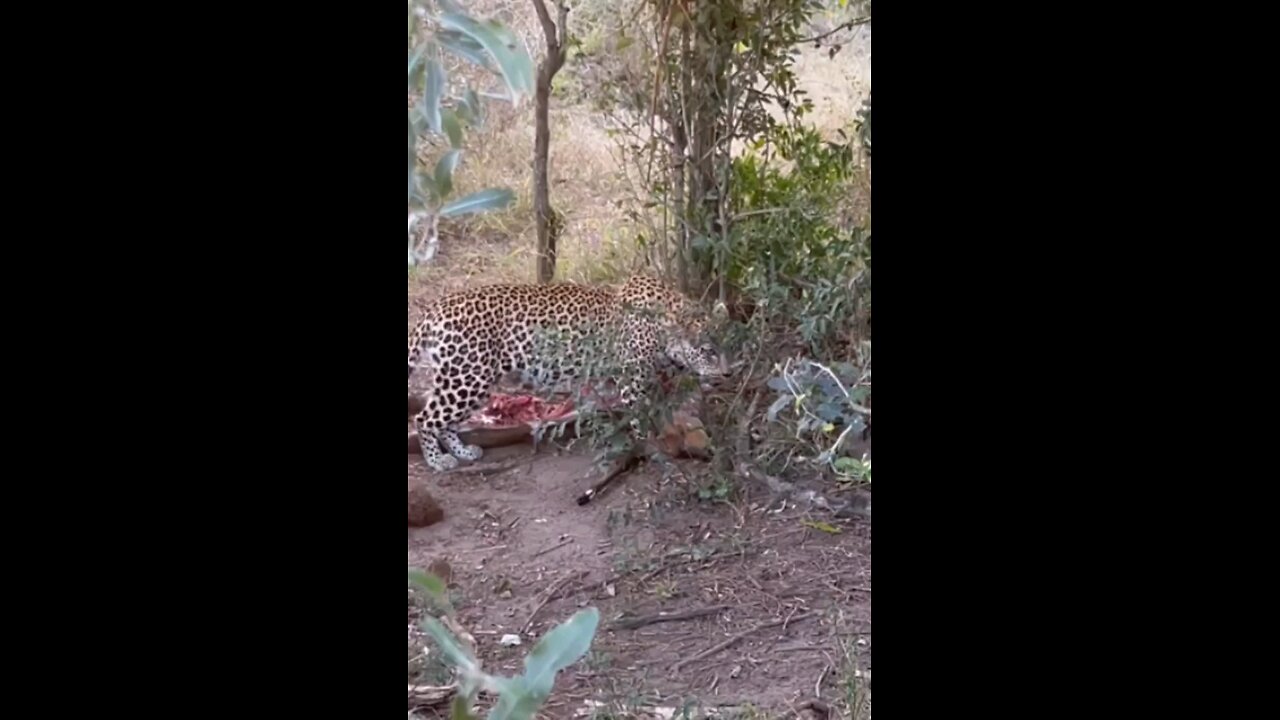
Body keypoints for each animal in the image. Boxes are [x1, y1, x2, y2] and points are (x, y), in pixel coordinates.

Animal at [409, 274, 732, 471]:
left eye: (726, 345)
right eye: (707, 351)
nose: (728, 375)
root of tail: (435, 308)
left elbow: (662, 412)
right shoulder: (632, 383)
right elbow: (643, 419)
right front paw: (656, 449)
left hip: (469, 381)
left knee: (445, 421)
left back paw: (462, 452)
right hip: (467, 379)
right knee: (424, 418)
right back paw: (439, 461)